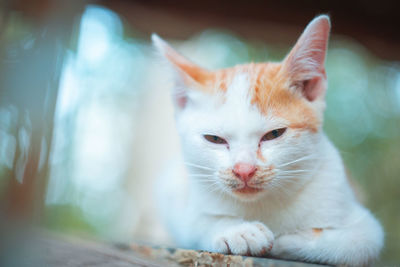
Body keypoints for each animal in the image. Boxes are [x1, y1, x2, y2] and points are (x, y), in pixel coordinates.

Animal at [152, 15, 382, 266]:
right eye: (214, 139)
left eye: (274, 134)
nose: (243, 170)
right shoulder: (175, 192)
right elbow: (193, 220)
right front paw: (237, 230)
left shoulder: (363, 223)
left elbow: (354, 245)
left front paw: (284, 240)